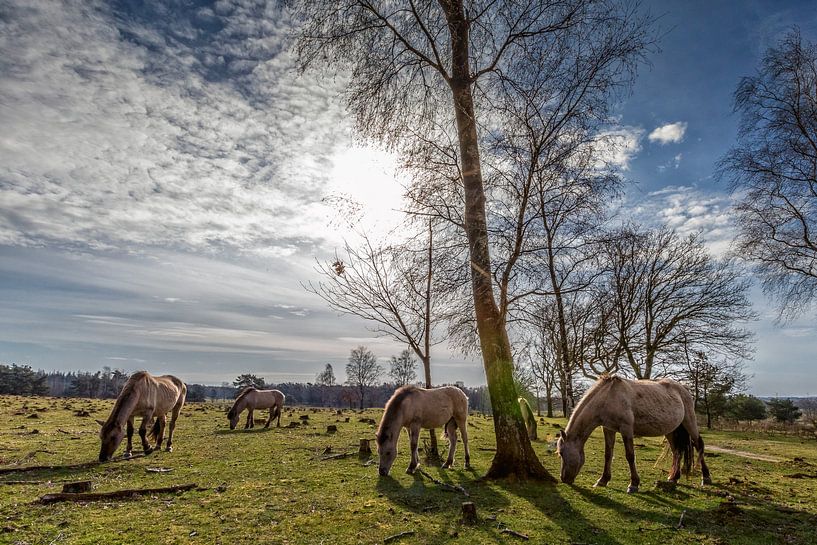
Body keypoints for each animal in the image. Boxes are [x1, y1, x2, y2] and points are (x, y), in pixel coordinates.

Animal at [556, 375, 711, 493]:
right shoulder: (608, 429)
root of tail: (684, 388)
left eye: (561, 453)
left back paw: (706, 478)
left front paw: (633, 484)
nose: (564, 479)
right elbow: (608, 454)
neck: (608, 397)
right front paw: (602, 480)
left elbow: (630, 456)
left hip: (689, 422)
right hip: (671, 431)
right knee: (676, 452)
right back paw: (674, 477)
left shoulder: (626, 429)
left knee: (698, 445)